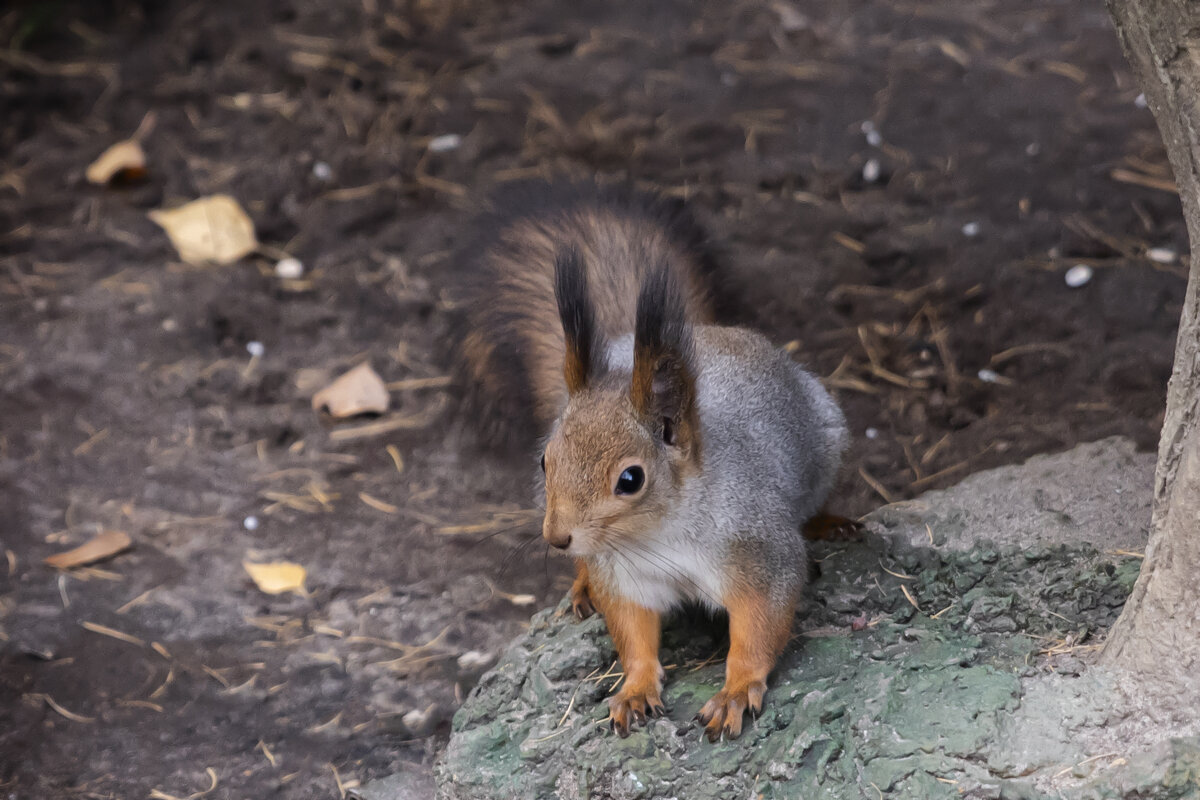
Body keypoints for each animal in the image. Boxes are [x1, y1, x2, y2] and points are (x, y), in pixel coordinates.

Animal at [453, 178, 849, 743]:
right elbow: (634, 633)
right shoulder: (627, 576)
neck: (659, 535)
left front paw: (734, 691)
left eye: (631, 478)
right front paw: (636, 688)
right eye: (545, 461)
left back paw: (828, 522)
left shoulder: (757, 550)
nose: (557, 538)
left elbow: (759, 626)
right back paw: (581, 583)